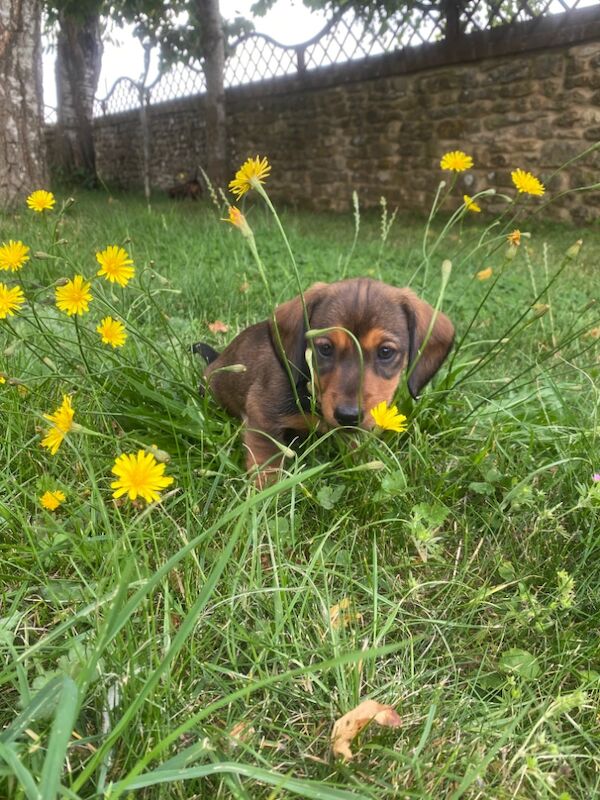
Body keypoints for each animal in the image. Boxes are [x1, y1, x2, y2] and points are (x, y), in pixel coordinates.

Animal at [197, 278, 454, 482]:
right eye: (326, 348)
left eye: (385, 352)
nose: (348, 416)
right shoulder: (263, 415)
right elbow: (267, 460)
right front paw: (265, 499)